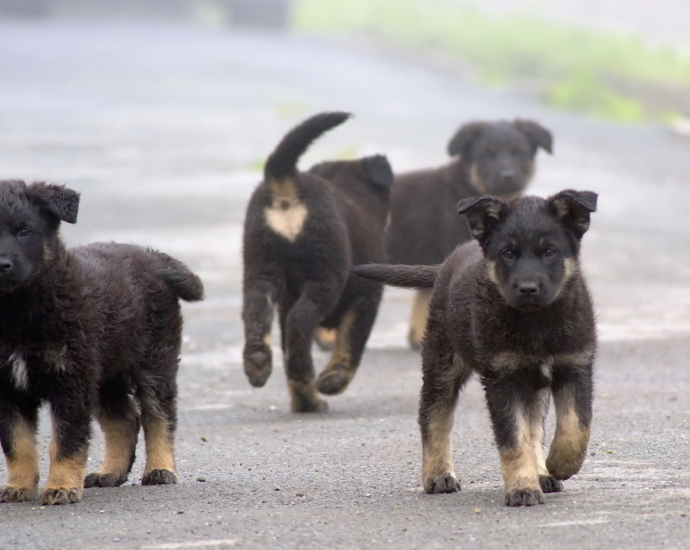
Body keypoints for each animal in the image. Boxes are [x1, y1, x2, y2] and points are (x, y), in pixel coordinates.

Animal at [0, 182, 204, 508]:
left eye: (24, 231)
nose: (2, 265)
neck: (18, 309)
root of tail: (154, 258)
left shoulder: (71, 380)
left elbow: (66, 440)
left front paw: (61, 487)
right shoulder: (8, 388)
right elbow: (16, 442)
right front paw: (18, 486)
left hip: (154, 362)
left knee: (159, 415)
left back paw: (160, 469)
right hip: (107, 373)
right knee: (125, 420)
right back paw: (111, 473)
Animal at [242, 113, 392, 414]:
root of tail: (286, 181)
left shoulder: (286, 299)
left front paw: (304, 401)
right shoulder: (368, 296)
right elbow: (351, 342)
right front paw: (333, 380)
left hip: (260, 267)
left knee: (258, 311)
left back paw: (258, 362)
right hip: (324, 275)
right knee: (301, 320)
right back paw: (306, 376)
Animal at [352, 190, 592, 508]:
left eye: (549, 252)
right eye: (508, 253)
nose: (528, 288)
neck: (536, 323)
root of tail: (444, 266)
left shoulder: (576, 365)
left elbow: (575, 426)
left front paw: (559, 464)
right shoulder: (502, 378)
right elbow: (513, 439)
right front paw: (522, 488)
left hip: (530, 385)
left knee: (535, 426)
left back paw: (542, 472)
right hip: (442, 364)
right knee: (433, 416)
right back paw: (438, 475)